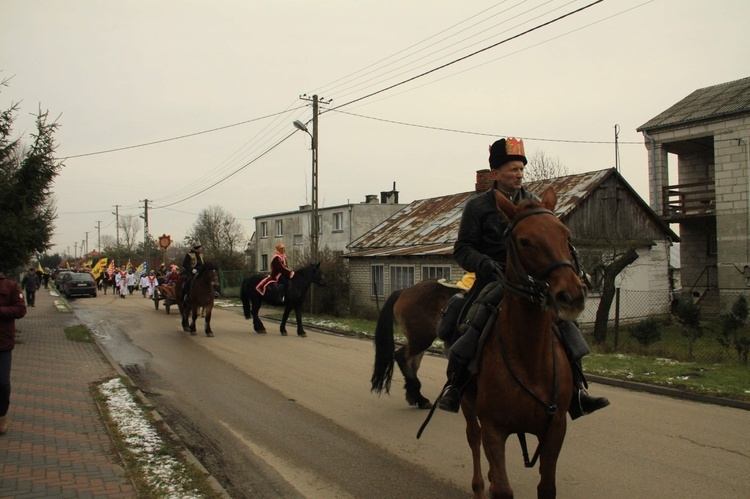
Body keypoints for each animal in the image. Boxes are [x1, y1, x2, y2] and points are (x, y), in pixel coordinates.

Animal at [372, 282, 462, 410]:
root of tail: (403, 291)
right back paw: (420, 398)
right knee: (401, 356)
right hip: (423, 337)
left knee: (412, 364)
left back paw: (414, 396)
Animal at [464, 188, 588, 499]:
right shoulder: (494, 429)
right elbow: (502, 488)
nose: (572, 294)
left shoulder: (555, 429)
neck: (529, 357)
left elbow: (547, 487)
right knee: (473, 438)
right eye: (524, 241)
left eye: (565, 234)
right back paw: (479, 486)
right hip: (467, 405)